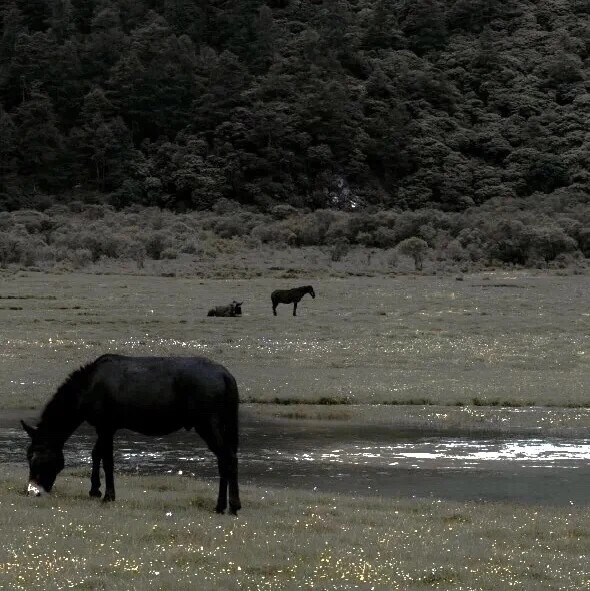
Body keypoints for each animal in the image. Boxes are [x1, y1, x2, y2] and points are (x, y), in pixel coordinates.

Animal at [22, 356, 242, 512]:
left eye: (37, 459)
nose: (32, 492)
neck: (89, 386)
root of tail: (226, 375)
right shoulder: (105, 428)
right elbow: (96, 454)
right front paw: (95, 489)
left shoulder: (106, 427)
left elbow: (107, 460)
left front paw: (108, 496)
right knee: (227, 460)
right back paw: (228, 505)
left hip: (208, 425)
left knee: (227, 459)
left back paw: (226, 506)